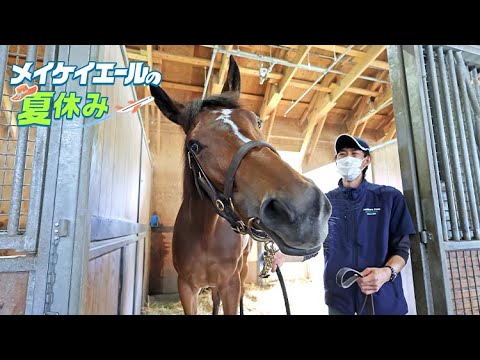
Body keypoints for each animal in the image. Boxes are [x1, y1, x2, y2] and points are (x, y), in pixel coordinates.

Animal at [149, 54, 330, 314]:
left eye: (258, 121)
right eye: (194, 145)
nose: (306, 209)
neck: (205, 235)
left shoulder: (231, 285)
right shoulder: (187, 288)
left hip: (242, 270)